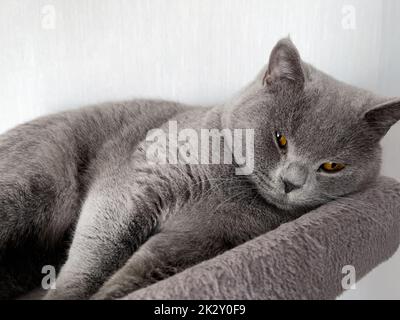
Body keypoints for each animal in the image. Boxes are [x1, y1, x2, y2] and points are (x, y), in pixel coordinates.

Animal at [0, 38, 398, 300]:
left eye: (332, 166)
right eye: (280, 139)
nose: (291, 182)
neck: (228, 188)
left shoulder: (202, 241)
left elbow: (146, 270)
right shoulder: (135, 185)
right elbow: (98, 248)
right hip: (32, 186)